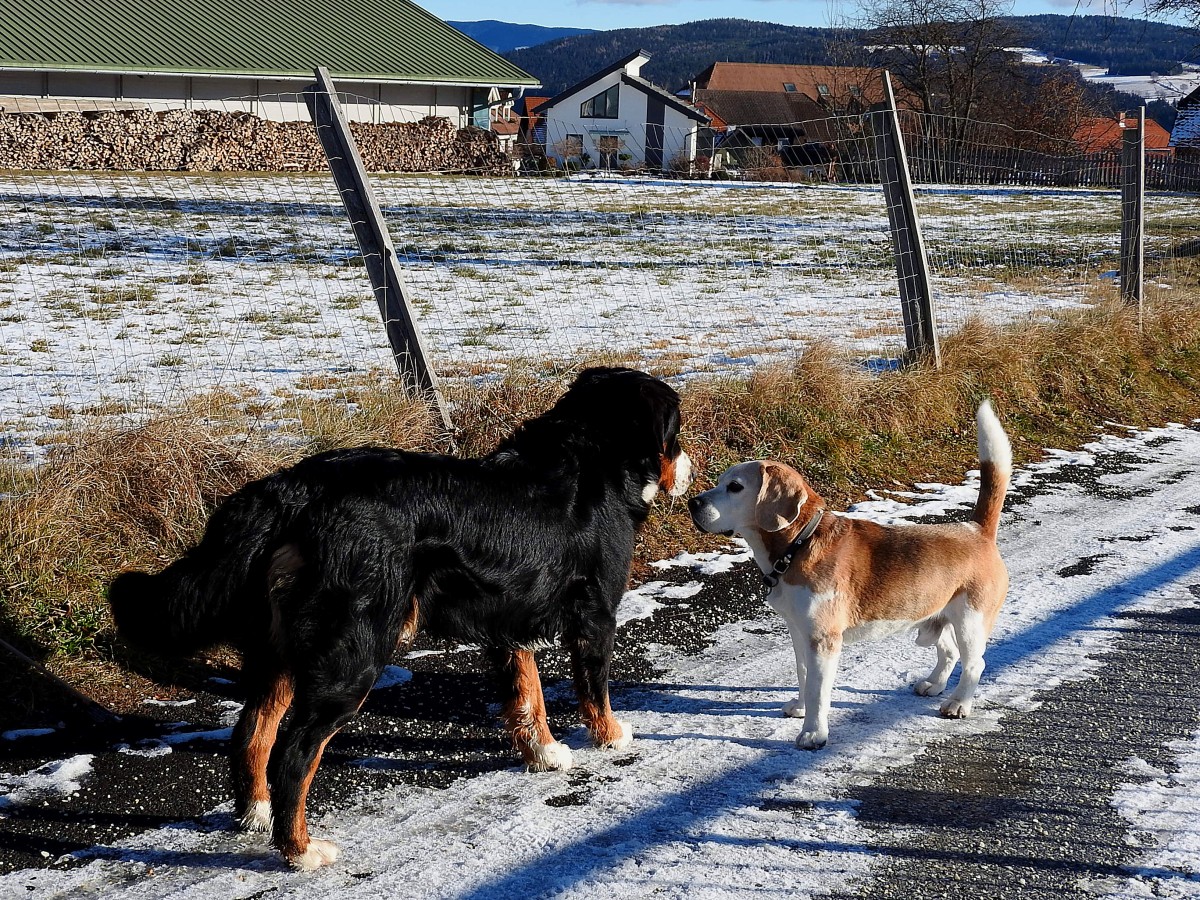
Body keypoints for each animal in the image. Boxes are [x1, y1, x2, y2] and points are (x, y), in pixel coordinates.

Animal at [112, 367, 696, 873]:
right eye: (675, 432)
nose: (689, 472)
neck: (593, 455)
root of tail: (295, 489)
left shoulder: (507, 620)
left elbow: (525, 694)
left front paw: (544, 753)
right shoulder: (596, 616)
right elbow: (594, 690)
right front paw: (612, 737)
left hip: (278, 651)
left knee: (252, 732)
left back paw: (255, 815)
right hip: (353, 654)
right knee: (294, 753)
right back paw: (300, 850)